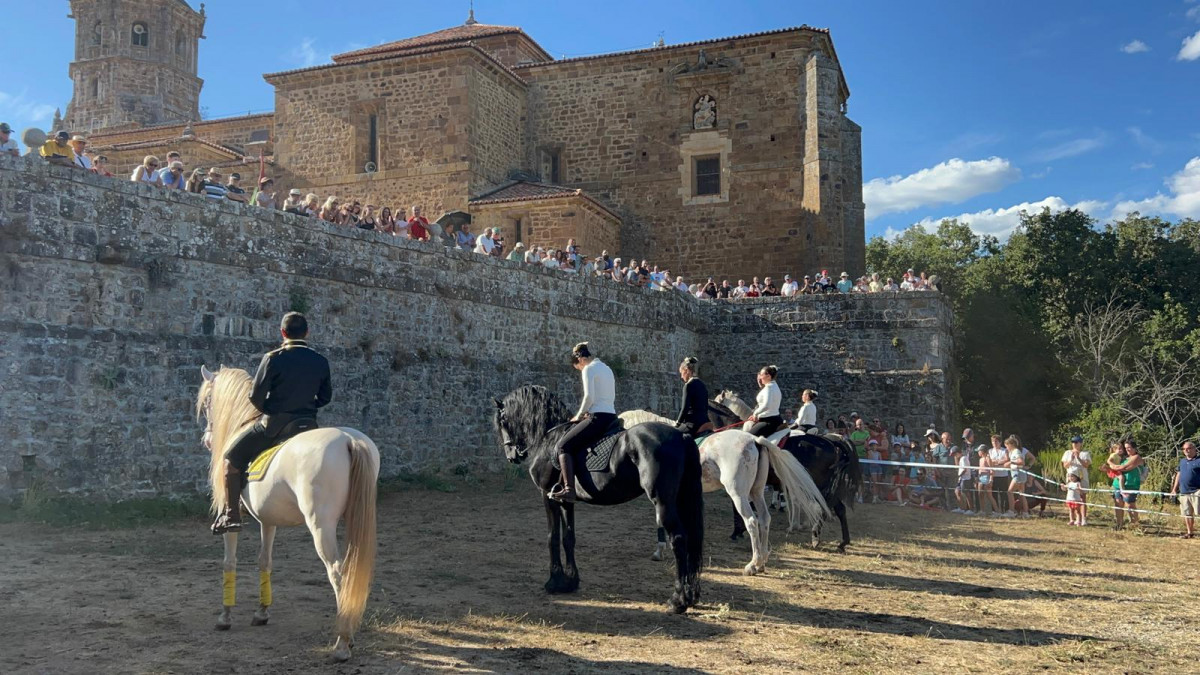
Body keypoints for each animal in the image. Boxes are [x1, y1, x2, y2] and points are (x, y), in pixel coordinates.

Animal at [198, 365, 379, 658]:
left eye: (206, 404)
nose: (206, 439)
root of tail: (349, 440)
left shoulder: (230, 520)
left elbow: (229, 562)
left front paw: (225, 617)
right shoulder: (268, 521)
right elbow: (265, 561)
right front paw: (261, 613)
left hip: (321, 527)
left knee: (337, 573)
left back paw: (342, 642)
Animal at [494, 384, 700, 610]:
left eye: (502, 421)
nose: (512, 456)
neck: (548, 438)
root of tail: (681, 436)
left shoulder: (547, 496)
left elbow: (552, 537)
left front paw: (554, 582)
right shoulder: (565, 500)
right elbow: (568, 537)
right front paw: (570, 582)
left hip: (662, 501)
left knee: (679, 539)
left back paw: (678, 600)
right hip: (680, 499)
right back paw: (691, 595)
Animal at [614, 410, 830, 571]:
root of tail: (755, 440)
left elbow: (661, 520)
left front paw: (659, 551)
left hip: (739, 494)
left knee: (753, 521)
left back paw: (754, 563)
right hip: (756, 492)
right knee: (764, 519)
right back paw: (763, 559)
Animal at [710, 398, 864, 547]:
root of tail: (831, 441)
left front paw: (738, 532)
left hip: (815, 485)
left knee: (824, 507)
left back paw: (815, 535)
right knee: (838, 508)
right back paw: (841, 542)